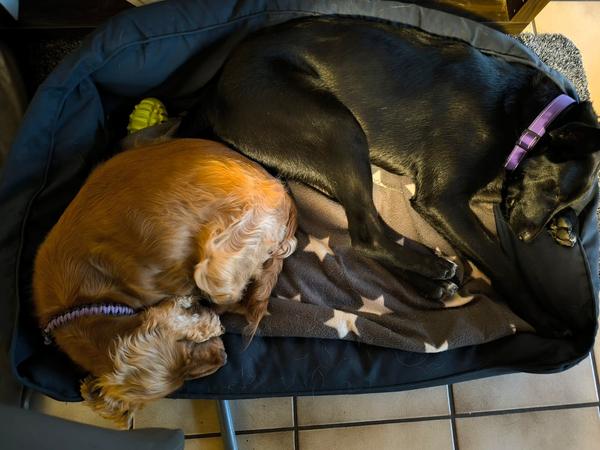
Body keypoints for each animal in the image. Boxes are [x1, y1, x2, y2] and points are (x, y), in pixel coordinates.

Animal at [33, 139, 297, 426]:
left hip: (218, 267)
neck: (87, 300)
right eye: (187, 354)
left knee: (234, 294)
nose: (224, 357)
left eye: (188, 346)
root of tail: (277, 187)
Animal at [174, 17, 600, 334]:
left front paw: (565, 225)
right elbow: (501, 262)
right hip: (337, 127)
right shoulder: (443, 199)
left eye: (561, 200)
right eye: (551, 189)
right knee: (365, 236)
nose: (526, 237)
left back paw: (432, 284)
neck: (529, 120)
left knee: (366, 231)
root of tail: (214, 88)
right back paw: (435, 272)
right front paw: (546, 318)